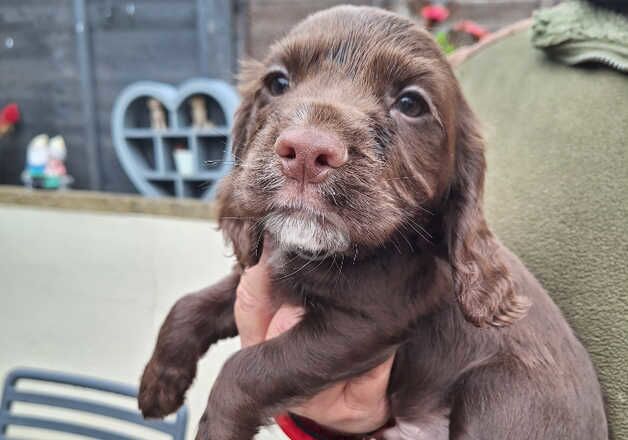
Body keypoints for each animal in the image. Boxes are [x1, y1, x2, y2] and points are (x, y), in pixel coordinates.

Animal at [139, 6, 608, 440]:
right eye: (277, 83)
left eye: (410, 104)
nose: (306, 151)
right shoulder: (261, 270)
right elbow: (189, 305)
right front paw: (159, 383)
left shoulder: (366, 323)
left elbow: (246, 369)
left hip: (500, 392)